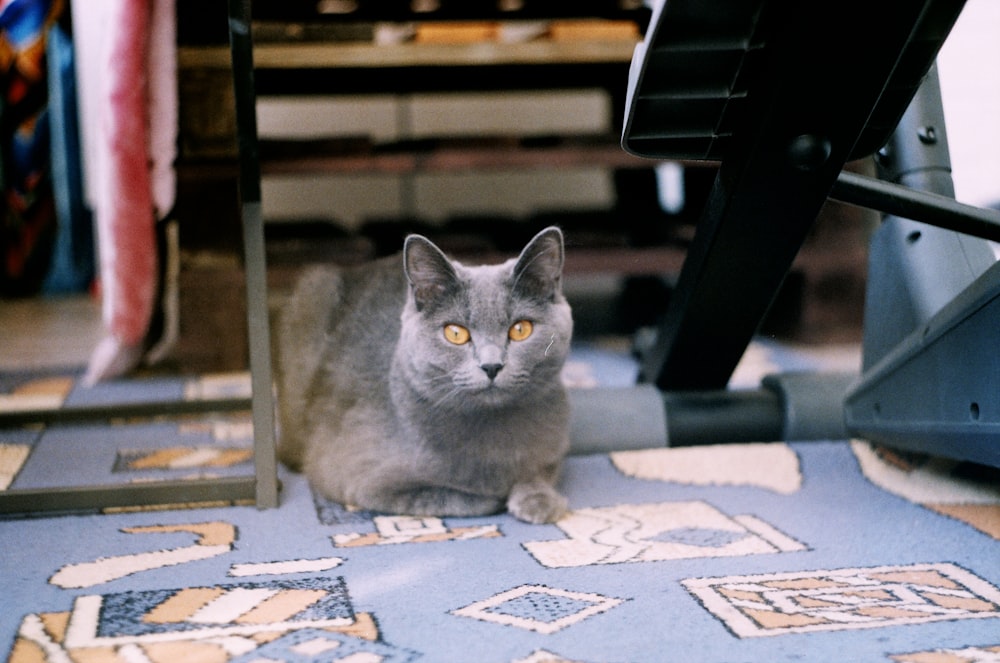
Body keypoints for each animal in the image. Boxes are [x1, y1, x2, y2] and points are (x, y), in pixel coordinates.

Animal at [274, 227, 576, 524]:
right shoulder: (354, 476)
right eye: (455, 333)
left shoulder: (554, 446)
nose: (491, 366)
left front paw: (539, 499)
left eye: (521, 329)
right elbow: (450, 497)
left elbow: (540, 471)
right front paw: (497, 496)